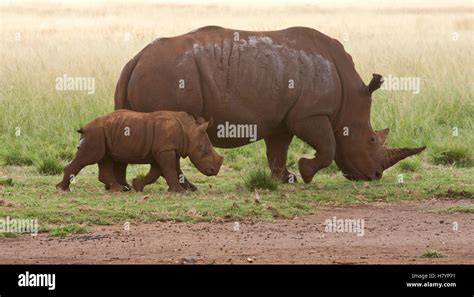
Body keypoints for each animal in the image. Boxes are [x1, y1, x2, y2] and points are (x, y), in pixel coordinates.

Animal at [56, 109, 224, 192]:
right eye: (204, 152)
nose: (214, 171)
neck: (189, 131)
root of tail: (84, 127)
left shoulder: (167, 149)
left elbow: (163, 171)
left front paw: (137, 185)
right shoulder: (165, 150)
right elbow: (169, 170)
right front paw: (179, 191)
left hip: (103, 134)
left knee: (105, 159)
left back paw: (122, 189)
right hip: (95, 134)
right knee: (89, 157)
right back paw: (62, 189)